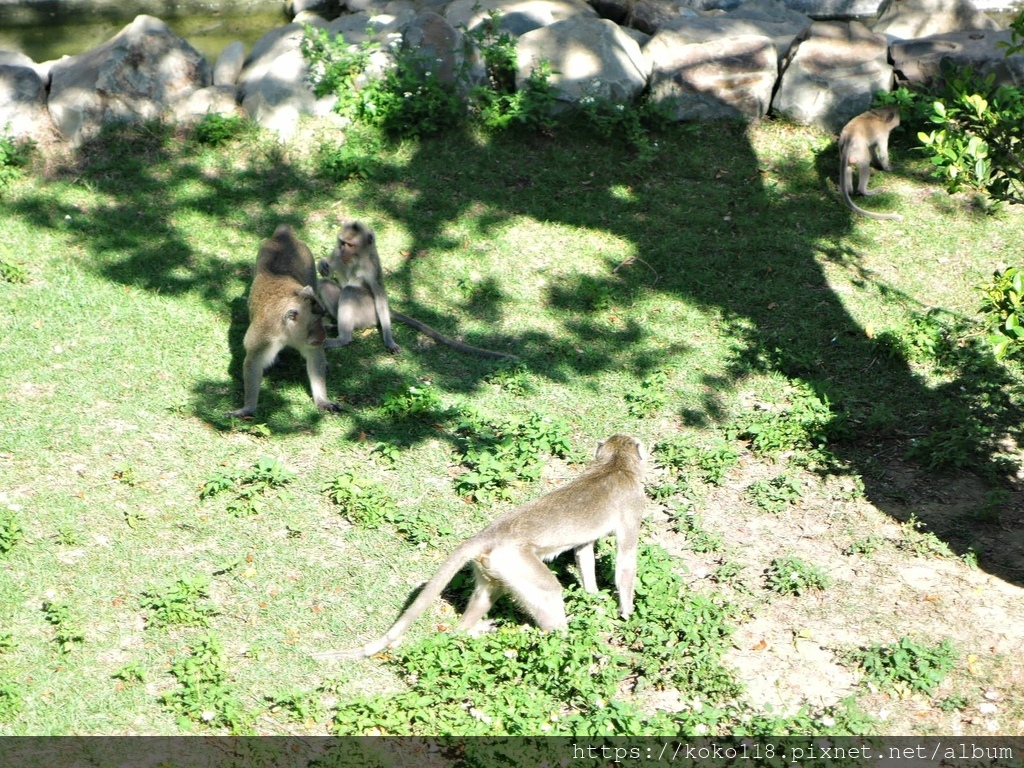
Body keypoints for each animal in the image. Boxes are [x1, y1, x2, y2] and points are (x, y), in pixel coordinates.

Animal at [228, 227, 339, 421]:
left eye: (321, 317)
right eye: (314, 321)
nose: (322, 335)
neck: (286, 332)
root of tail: (283, 235)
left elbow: (315, 357)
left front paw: (322, 400)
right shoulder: (263, 338)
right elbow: (253, 364)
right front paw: (247, 408)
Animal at [315, 218, 516, 360]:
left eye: (350, 245)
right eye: (342, 243)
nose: (343, 251)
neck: (356, 258)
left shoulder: (371, 265)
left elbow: (379, 296)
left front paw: (389, 340)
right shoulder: (338, 254)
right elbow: (329, 270)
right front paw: (323, 264)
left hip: (368, 314)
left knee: (350, 291)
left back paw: (343, 338)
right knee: (325, 284)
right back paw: (335, 325)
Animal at [315, 434, 643, 663]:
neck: (615, 463)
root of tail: (490, 534)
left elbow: (583, 551)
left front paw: (593, 596)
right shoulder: (632, 502)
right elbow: (626, 559)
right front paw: (627, 613)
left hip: (495, 565)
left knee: (488, 593)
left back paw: (467, 631)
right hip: (516, 560)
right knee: (548, 590)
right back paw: (563, 642)